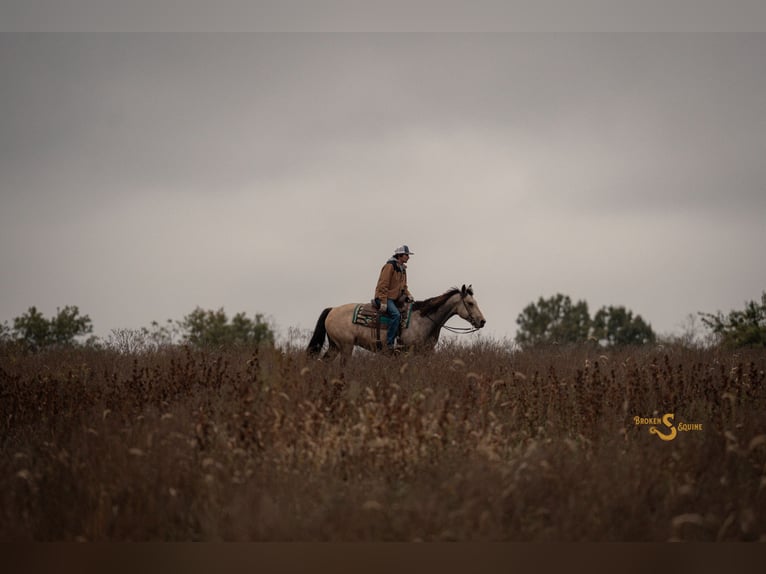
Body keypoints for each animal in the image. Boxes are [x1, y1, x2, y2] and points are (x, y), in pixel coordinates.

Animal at [307, 284, 486, 363]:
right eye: (470, 303)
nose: (482, 321)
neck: (423, 319)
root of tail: (332, 310)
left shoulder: (426, 352)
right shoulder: (408, 351)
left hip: (334, 346)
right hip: (345, 346)